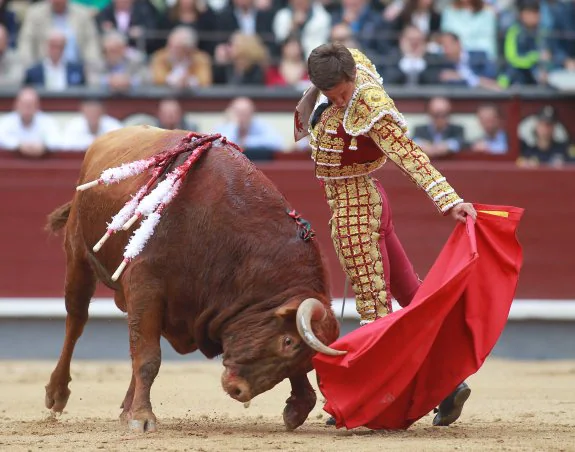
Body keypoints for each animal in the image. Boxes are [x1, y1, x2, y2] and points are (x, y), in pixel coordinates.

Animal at [46, 125, 346, 432]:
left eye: (308, 362)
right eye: (287, 342)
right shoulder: (145, 285)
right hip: (78, 256)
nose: (239, 391)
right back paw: (58, 395)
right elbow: (148, 357)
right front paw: (142, 417)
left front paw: (297, 407)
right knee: (77, 320)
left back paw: (124, 408)